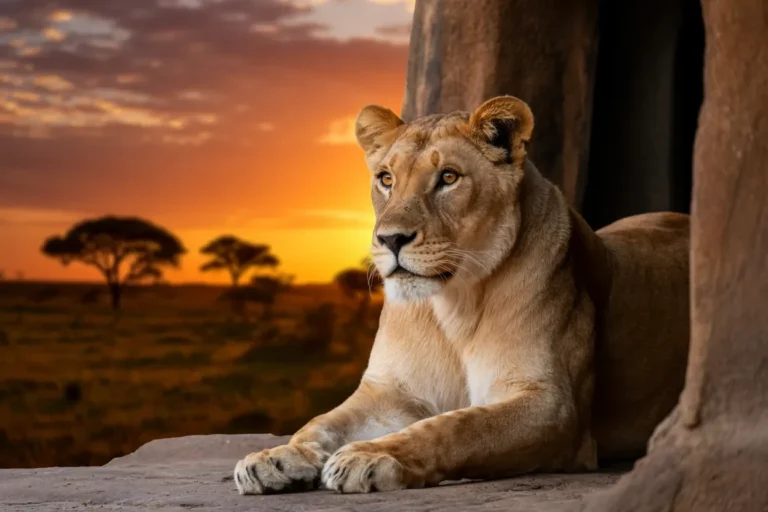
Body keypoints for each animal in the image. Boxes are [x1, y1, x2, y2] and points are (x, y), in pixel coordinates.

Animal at [234, 96, 690, 494]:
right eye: (386, 179)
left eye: (448, 178)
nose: (390, 239)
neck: (452, 304)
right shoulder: (390, 392)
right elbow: (321, 421)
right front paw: (276, 457)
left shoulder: (554, 405)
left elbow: (457, 426)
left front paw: (369, 457)